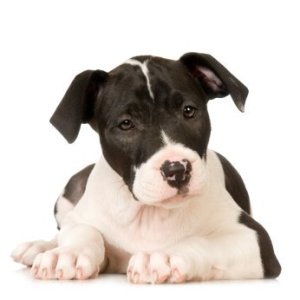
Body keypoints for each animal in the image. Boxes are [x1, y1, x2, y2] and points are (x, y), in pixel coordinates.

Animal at [11, 52, 282, 282]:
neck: (149, 213)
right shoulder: (79, 218)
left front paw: (165, 256)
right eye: (126, 124)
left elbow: (204, 241)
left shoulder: (256, 239)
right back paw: (39, 246)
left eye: (189, 111)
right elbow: (83, 230)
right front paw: (68, 253)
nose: (177, 170)